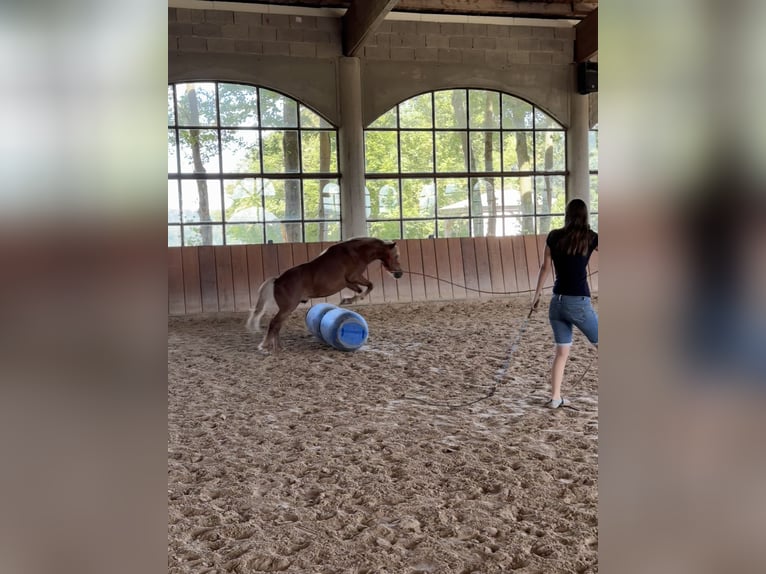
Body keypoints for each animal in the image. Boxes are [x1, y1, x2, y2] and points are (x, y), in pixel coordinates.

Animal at [246, 237, 404, 354]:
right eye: (396, 255)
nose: (399, 274)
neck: (355, 253)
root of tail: (277, 280)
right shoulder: (354, 277)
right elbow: (370, 286)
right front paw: (353, 300)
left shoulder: (349, 282)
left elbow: (361, 289)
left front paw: (347, 300)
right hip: (288, 307)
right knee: (274, 323)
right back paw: (265, 346)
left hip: (287, 309)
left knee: (278, 325)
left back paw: (278, 347)